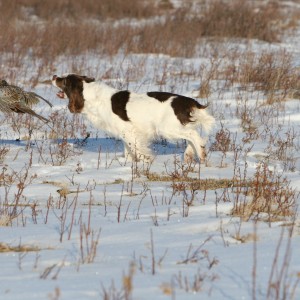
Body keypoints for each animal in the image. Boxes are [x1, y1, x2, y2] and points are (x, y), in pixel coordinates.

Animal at [52, 74, 214, 163]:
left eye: (65, 81)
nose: (54, 76)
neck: (93, 97)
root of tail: (188, 101)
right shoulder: (126, 133)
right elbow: (128, 151)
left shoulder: (128, 130)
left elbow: (137, 150)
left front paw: (146, 162)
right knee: (193, 137)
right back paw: (188, 156)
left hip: (167, 128)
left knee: (194, 136)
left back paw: (201, 155)